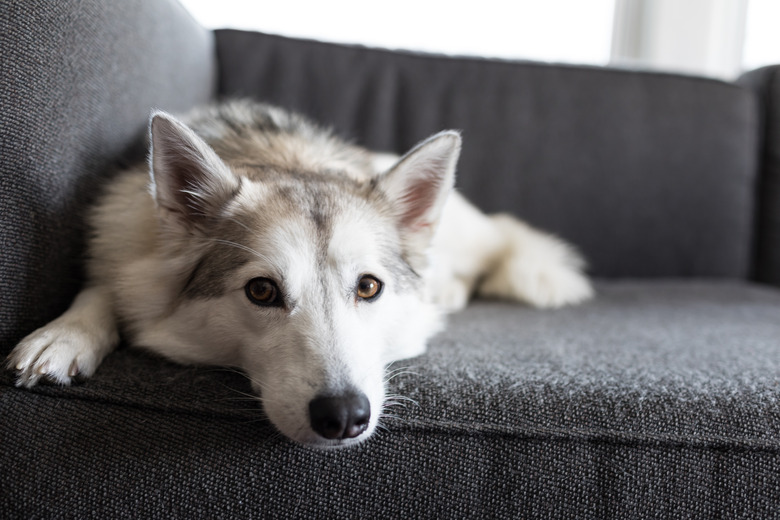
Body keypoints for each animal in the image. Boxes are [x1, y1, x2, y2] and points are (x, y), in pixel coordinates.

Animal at [6, 100, 596, 446]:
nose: (344, 416)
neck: (286, 157)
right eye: (262, 290)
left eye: (369, 287)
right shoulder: (125, 246)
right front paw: (64, 335)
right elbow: (104, 290)